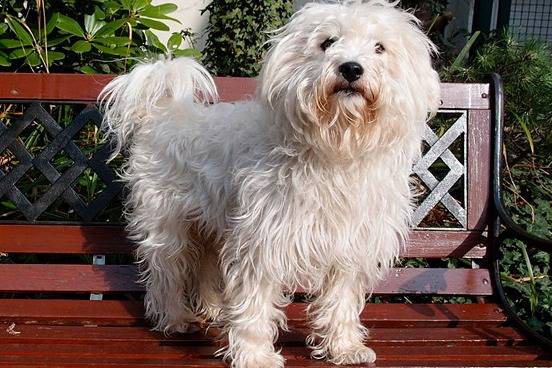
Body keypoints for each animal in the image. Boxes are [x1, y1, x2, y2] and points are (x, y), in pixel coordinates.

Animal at [100, 1, 440, 366]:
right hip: (169, 227)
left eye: (380, 47)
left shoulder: (350, 245)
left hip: (210, 227)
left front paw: (344, 347)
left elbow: (341, 301)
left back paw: (214, 310)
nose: (351, 68)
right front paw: (254, 354)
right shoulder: (262, 241)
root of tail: (163, 111)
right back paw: (175, 318)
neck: (336, 150)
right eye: (327, 42)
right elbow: (255, 303)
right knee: (167, 275)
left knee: (205, 268)